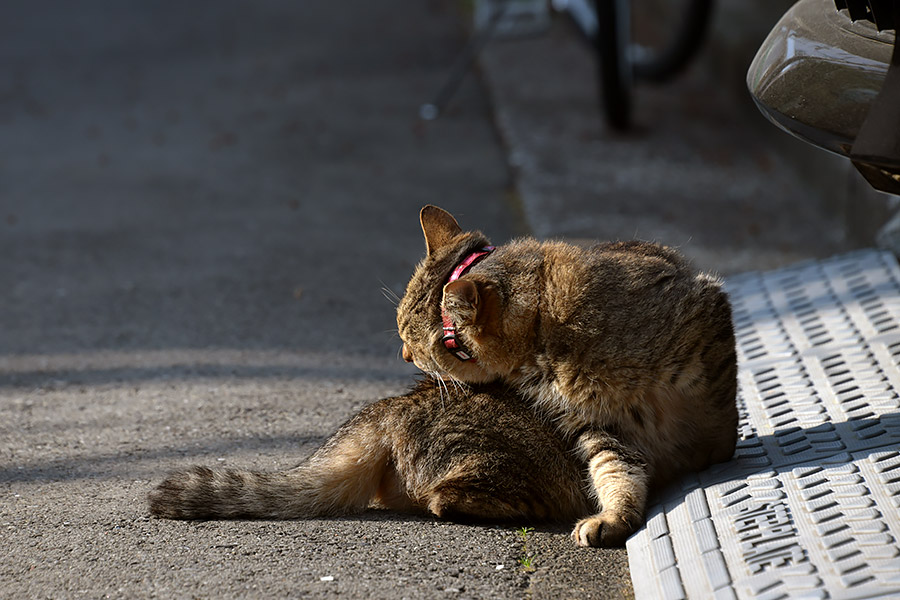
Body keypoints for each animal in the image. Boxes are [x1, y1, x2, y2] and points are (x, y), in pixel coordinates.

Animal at [398, 206, 736, 548]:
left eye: (415, 343)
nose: (404, 355)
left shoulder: (709, 314)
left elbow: (719, 409)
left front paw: (714, 451)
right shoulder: (596, 425)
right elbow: (614, 469)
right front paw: (613, 517)